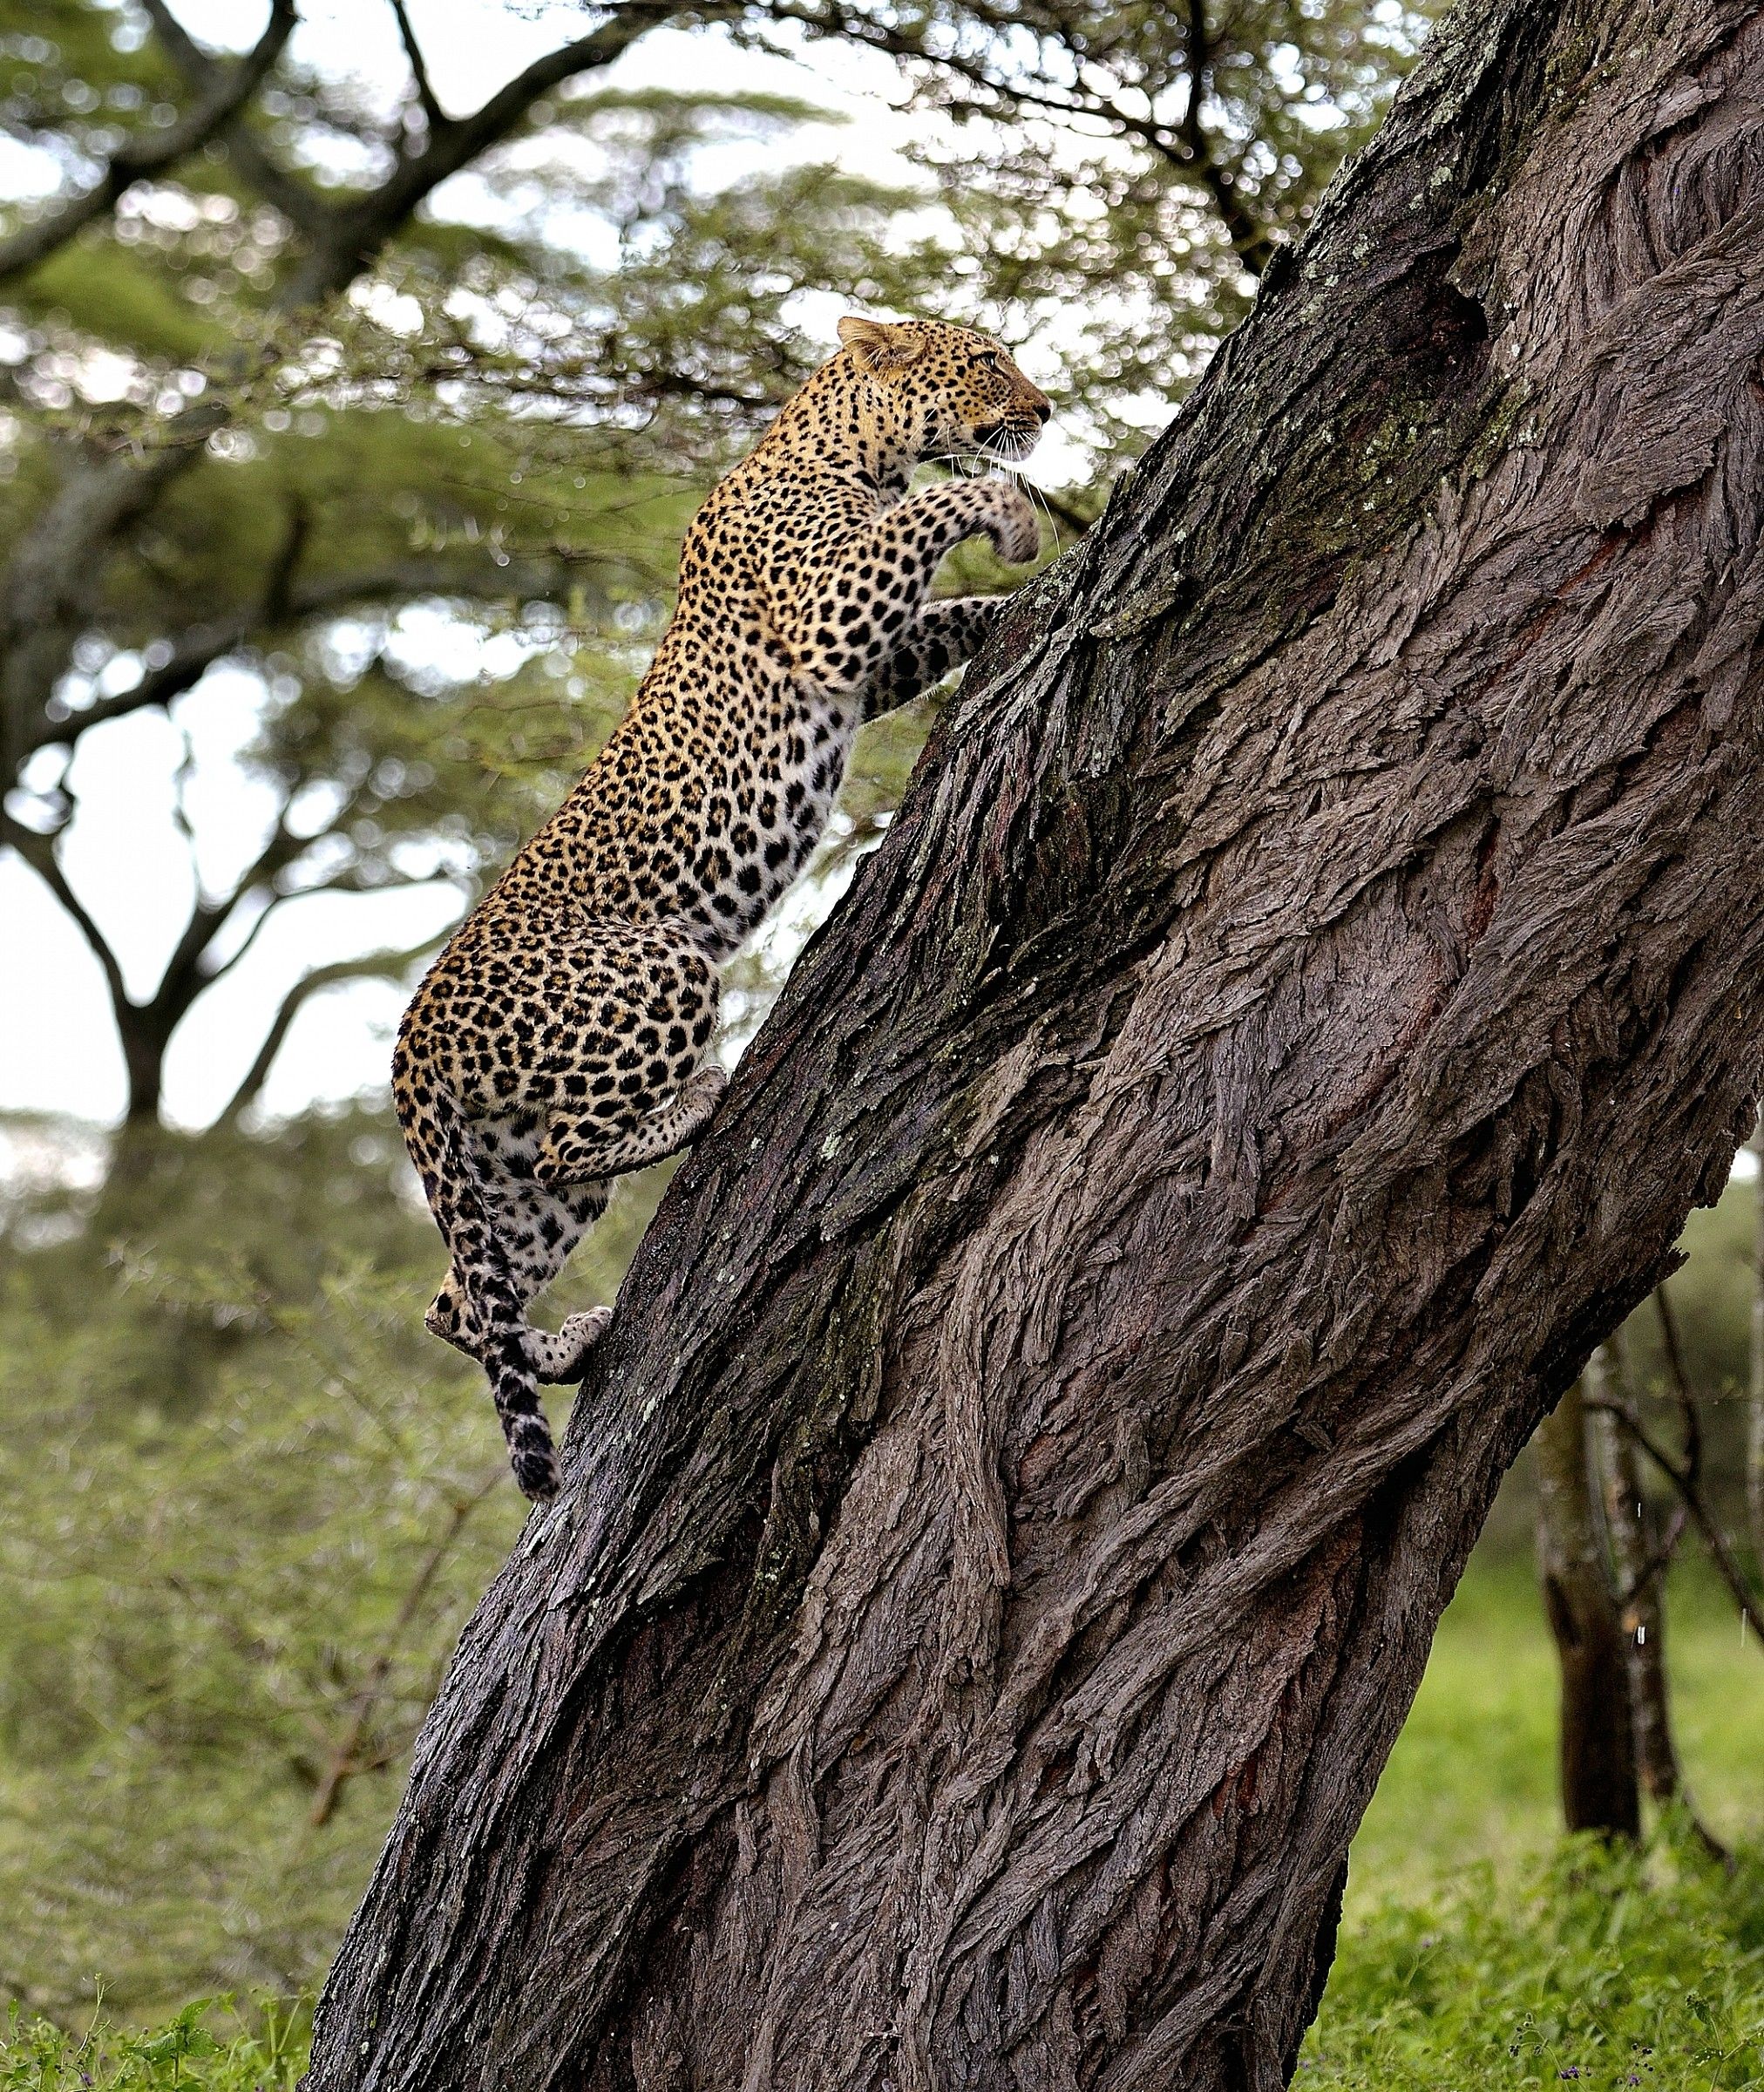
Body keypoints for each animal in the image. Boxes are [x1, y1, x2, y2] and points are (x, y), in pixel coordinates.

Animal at [392, 313, 1051, 1500]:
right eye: (984, 361)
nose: (1047, 407)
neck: (854, 447)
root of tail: (408, 1038)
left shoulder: (870, 657)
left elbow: (948, 607)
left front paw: (1023, 592)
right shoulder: (833, 616)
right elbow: (937, 512)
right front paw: (1017, 522)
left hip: (499, 1168)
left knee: (462, 1303)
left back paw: (574, 1340)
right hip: (658, 966)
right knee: (569, 1151)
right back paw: (696, 1104)